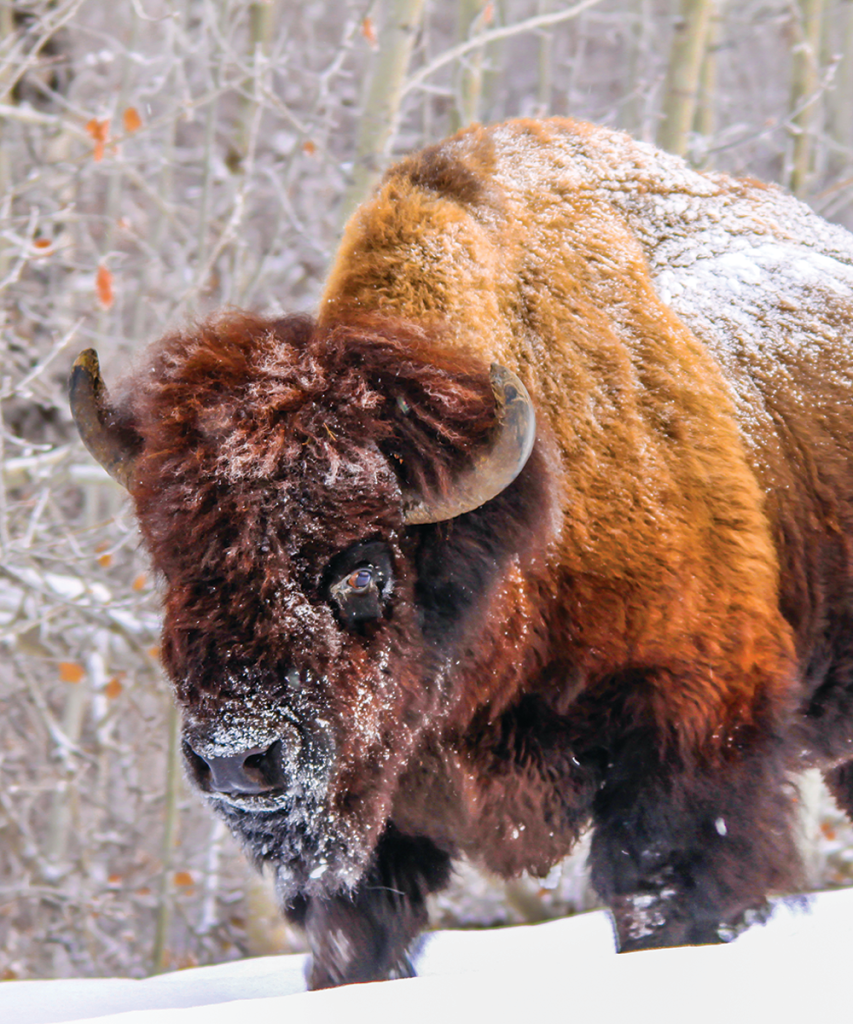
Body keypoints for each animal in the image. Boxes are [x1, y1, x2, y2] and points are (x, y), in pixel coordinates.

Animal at [70, 118, 853, 987]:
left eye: (365, 570)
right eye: (175, 566)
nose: (238, 759)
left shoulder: (694, 721)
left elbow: (660, 888)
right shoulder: (381, 808)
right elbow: (357, 936)